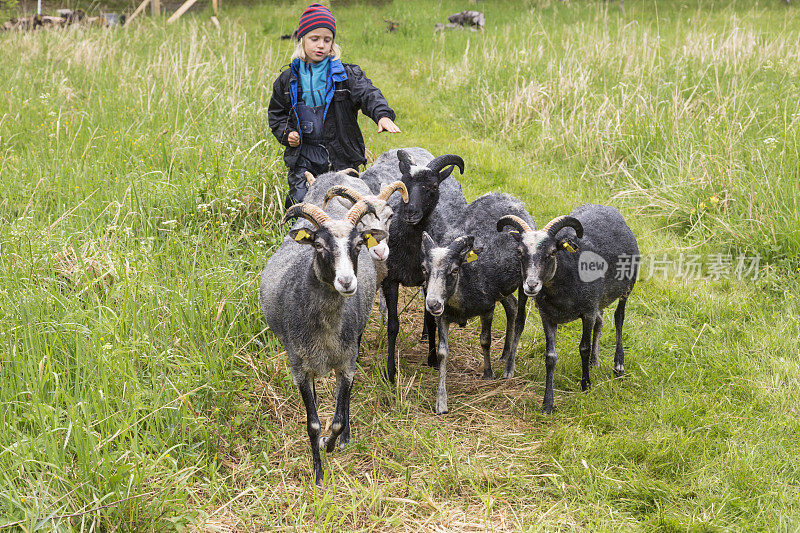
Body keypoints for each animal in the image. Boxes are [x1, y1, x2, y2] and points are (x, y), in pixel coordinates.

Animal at [260, 201, 384, 486]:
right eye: (318, 245)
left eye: (359, 244)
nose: (347, 282)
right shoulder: (299, 369)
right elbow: (312, 424)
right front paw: (318, 474)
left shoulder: (346, 363)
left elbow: (337, 419)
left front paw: (330, 443)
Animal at [418, 193, 536, 414]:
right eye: (423, 269)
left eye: (454, 270)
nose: (433, 304)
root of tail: (508, 196)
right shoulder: (443, 317)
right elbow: (442, 353)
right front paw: (441, 402)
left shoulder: (487, 308)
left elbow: (485, 341)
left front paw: (488, 374)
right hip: (501, 289)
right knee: (512, 306)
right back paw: (505, 354)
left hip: (524, 281)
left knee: (519, 317)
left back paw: (508, 366)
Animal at [496, 202, 640, 414]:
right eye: (520, 252)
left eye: (552, 252)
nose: (531, 285)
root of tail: (607, 208)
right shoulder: (548, 316)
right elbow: (550, 357)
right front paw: (547, 403)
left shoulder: (587, 311)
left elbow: (583, 348)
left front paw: (586, 385)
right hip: (599, 300)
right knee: (601, 320)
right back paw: (594, 362)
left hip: (627, 287)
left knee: (619, 317)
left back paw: (618, 365)